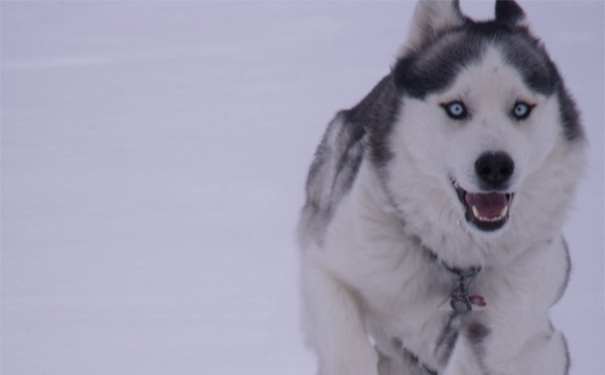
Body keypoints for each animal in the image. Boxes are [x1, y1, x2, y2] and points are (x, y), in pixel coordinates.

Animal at [298, 0, 584, 375]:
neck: (456, 266)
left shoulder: (519, 333)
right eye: (457, 108)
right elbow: (350, 350)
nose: (496, 166)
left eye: (521, 108)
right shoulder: (325, 267)